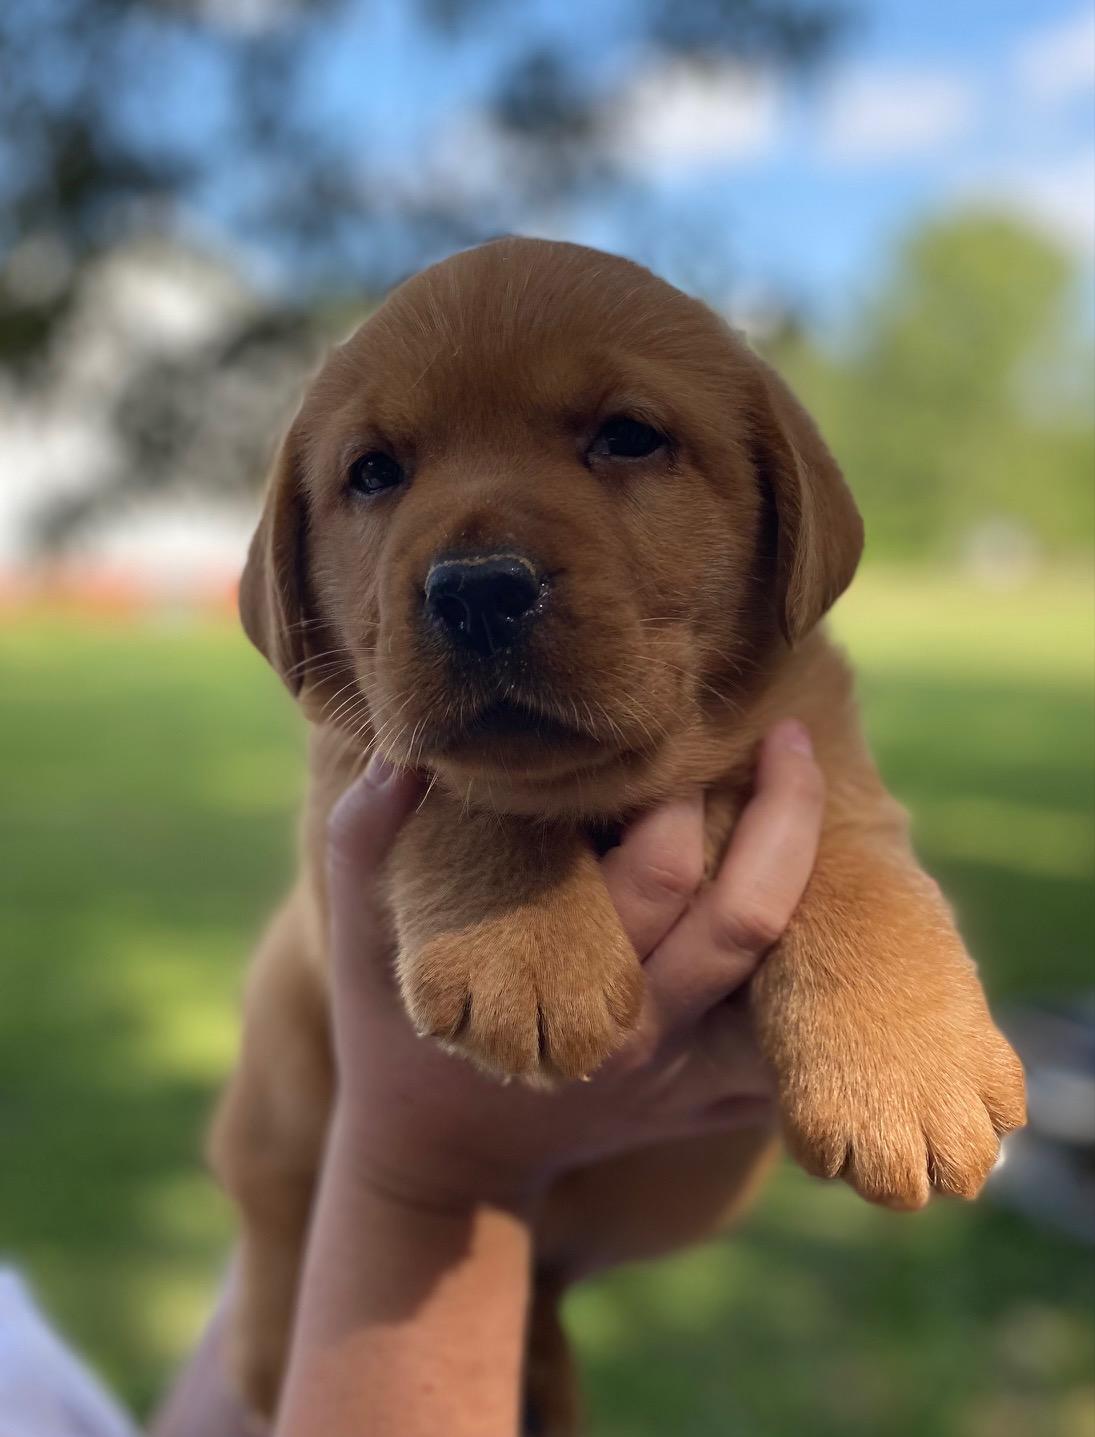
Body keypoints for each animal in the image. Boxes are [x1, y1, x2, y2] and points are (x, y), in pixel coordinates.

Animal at [210, 237, 1026, 1432]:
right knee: (269, 1197)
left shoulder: (817, 740)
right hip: (276, 1036)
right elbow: (470, 786)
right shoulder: (358, 757)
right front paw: (522, 947)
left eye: (629, 437)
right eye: (373, 472)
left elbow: (858, 864)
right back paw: (275, 1352)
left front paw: (907, 1070)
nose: (478, 590)